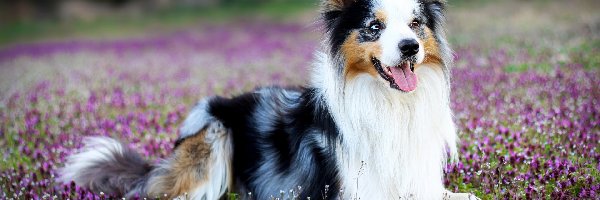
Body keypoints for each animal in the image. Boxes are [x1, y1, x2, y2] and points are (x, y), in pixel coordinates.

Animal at [59, 0, 478, 199]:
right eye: (375, 27)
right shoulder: (355, 190)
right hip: (214, 131)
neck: (392, 104)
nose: (409, 48)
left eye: (415, 24)